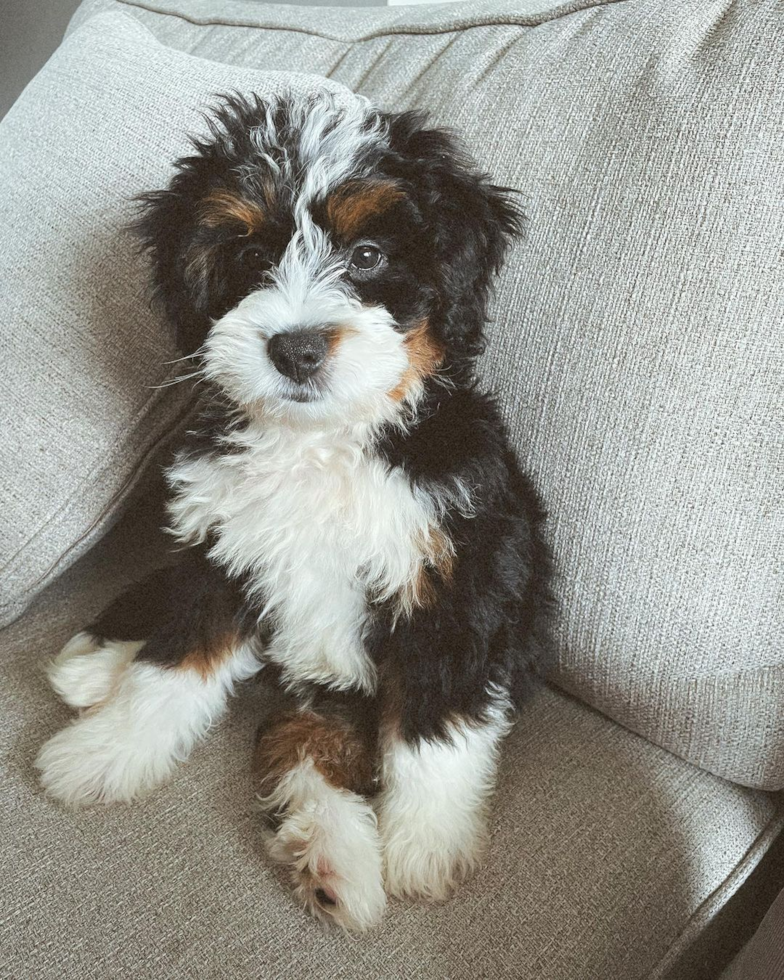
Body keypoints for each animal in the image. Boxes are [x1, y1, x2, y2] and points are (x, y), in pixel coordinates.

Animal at [35, 94, 552, 936]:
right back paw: (95, 666)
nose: (297, 348)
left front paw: (426, 844)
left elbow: (434, 728)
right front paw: (106, 751)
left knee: (309, 737)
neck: (320, 446)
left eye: (368, 255)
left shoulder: (453, 578)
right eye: (248, 256)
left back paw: (334, 861)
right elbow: (174, 662)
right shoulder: (224, 547)